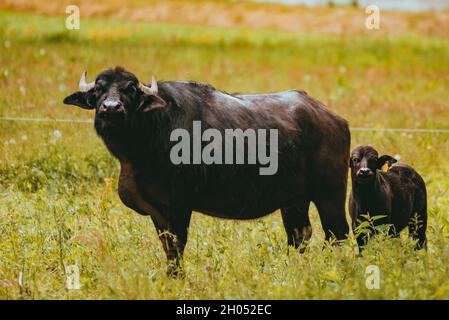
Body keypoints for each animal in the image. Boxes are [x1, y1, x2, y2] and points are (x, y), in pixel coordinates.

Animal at [63, 67, 350, 276]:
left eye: (130, 89)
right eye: (99, 89)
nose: (111, 107)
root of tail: (335, 120)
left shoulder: (179, 205)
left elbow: (177, 245)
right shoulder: (157, 211)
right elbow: (167, 246)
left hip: (330, 196)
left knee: (337, 235)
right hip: (294, 202)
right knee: (300, 236)